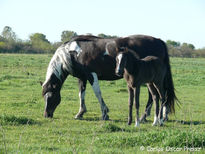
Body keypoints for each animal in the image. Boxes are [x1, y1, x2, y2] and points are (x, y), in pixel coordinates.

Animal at [40, 34, 177, 120]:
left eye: (51, 96)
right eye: (44, 97)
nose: (46, 115)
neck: (73, 52)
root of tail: (158, 41)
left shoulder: (92, 75)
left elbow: (97, 93)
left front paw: (104, 113)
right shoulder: (82, 78)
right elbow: (81, 95)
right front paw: (80, 113)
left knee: (156, 95)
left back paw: (148, 117)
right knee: (158, 95)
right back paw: (158, 116)